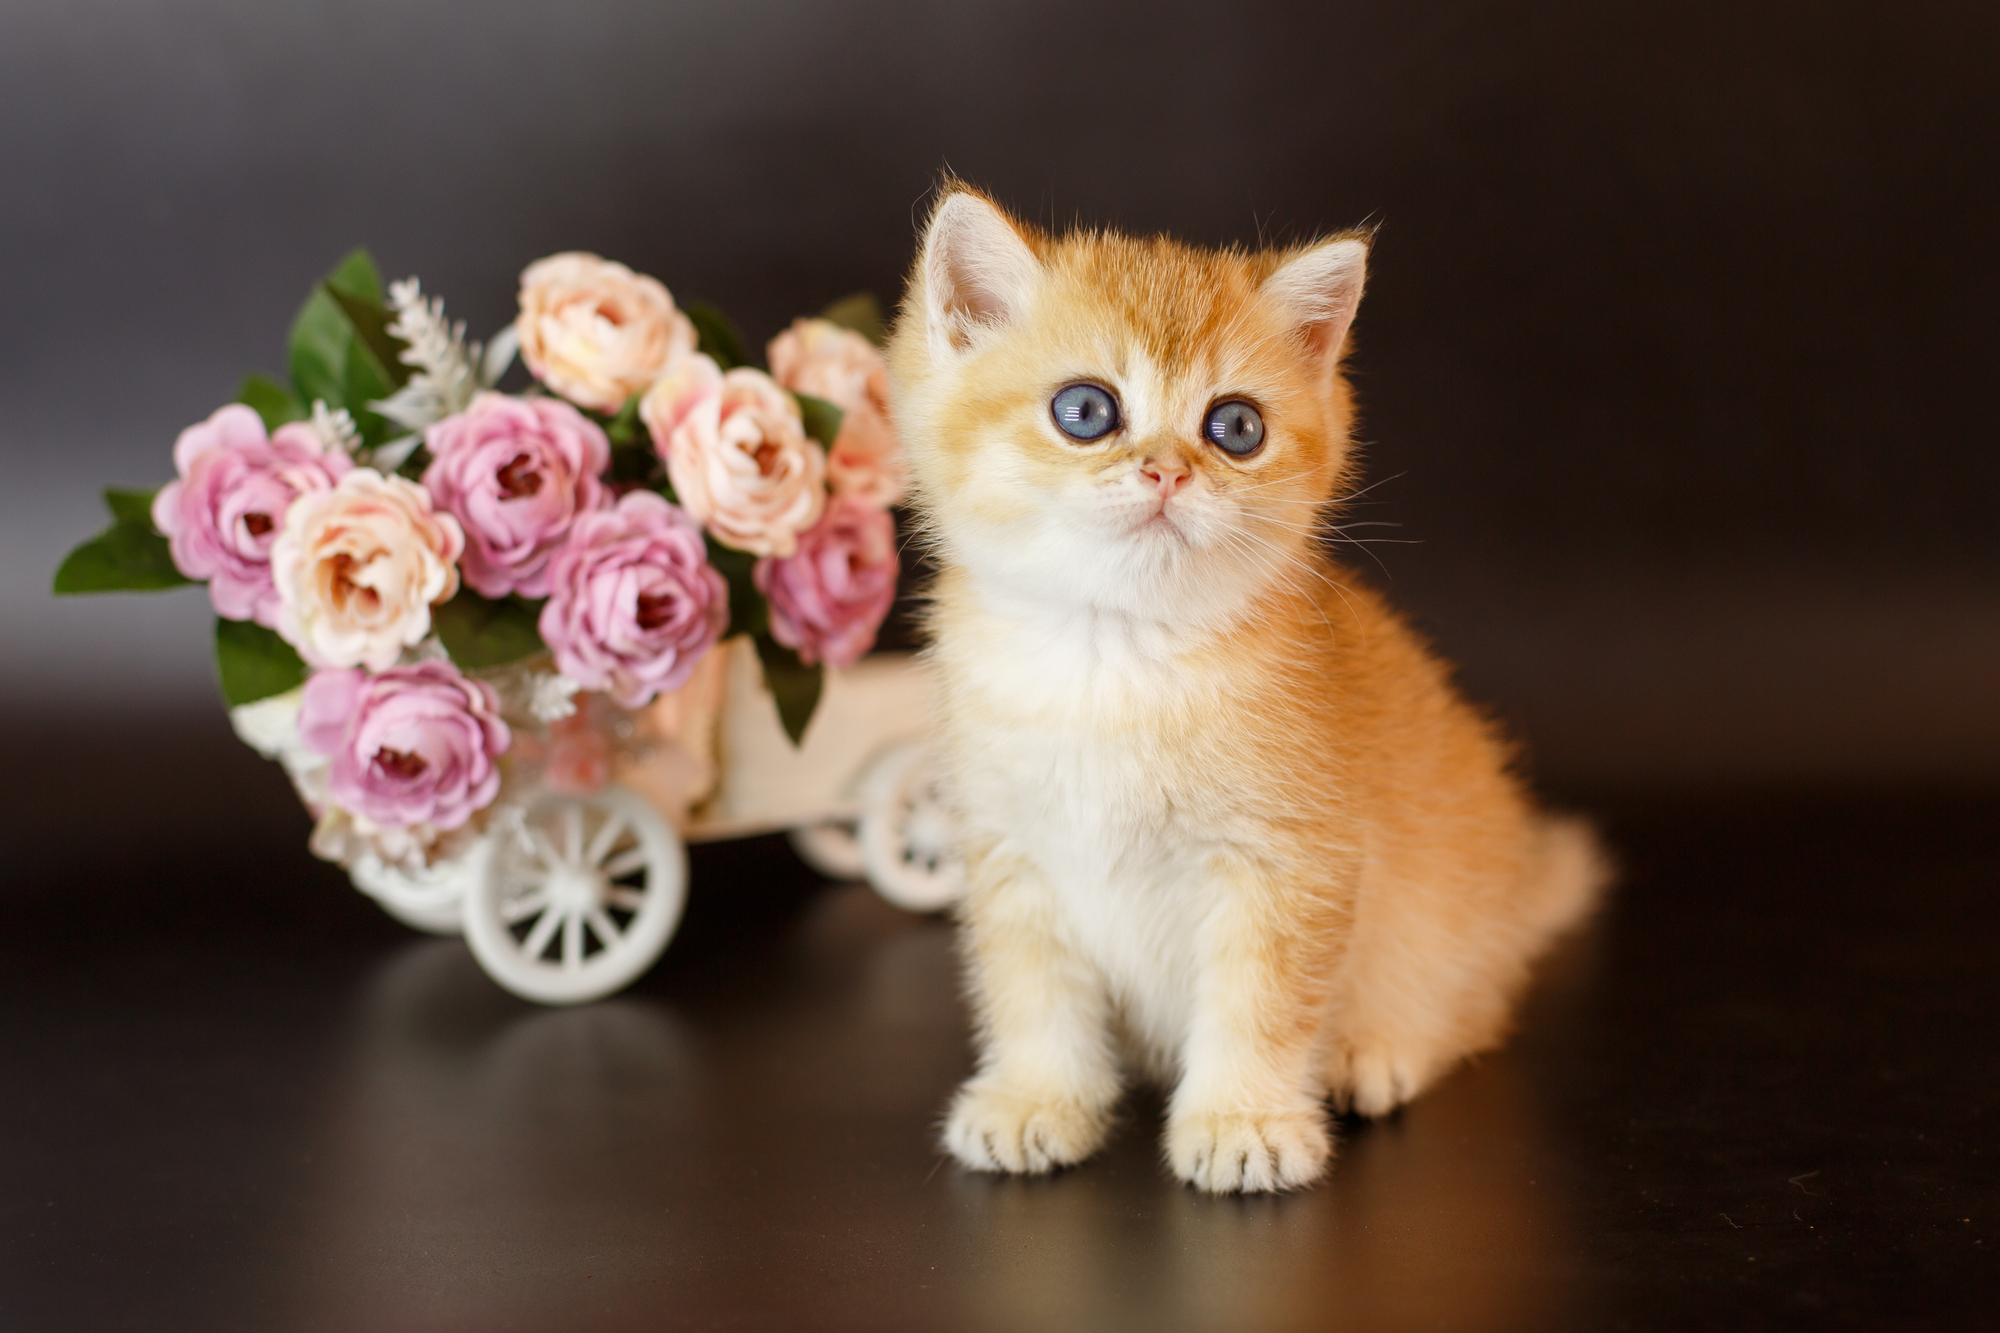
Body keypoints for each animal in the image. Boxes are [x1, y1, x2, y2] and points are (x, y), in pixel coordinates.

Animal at [892, 182, 1608, 1184]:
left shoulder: (1290, 862)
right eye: (1086, 410)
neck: (1114, 664)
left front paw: (1244, 1119)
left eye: (1236, 427)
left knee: (1466, 1008)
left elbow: (1260, 1003)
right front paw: (1037, 1096)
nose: (1167, 469)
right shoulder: (1010, 850)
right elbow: (1030, 990)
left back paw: (1376, 1051)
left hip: (1450, 918)